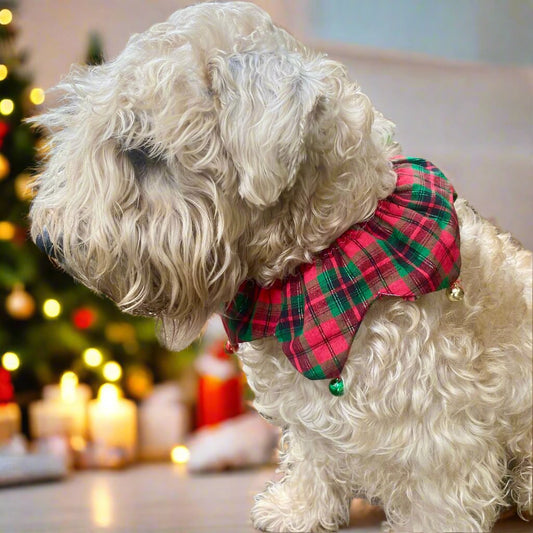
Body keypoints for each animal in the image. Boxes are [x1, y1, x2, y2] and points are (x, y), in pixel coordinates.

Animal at [31, 2, 528, 528]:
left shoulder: (440, 424)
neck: (321, 258)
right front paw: (299, 510)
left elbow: (437, 495)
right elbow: (313, 456)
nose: (47, 242)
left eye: (140, 150)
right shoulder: (309, 414)